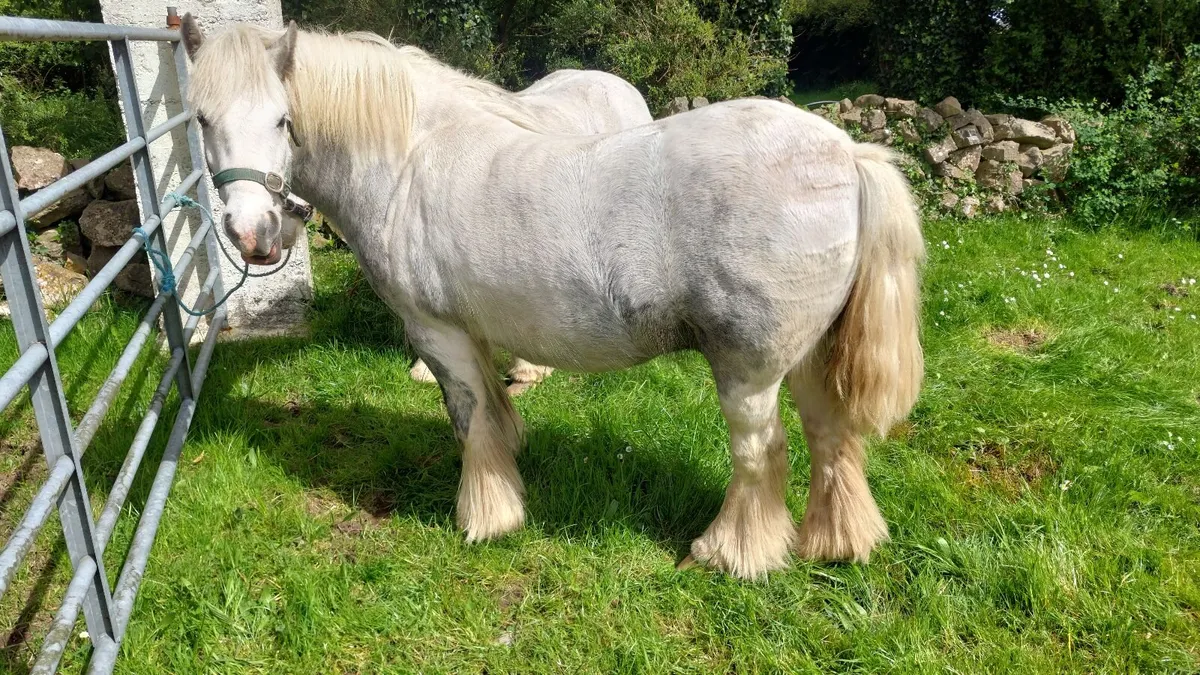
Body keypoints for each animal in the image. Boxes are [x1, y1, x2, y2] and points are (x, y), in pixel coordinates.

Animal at [181, 17, 925, 580]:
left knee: (761, 452)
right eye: (201, 119)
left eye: (283, 120)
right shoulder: (474, 328)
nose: (252, 234)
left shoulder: (437, 331)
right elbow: (491, 406)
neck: (407, 161)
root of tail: (845, 154)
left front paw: (485, 516)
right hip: (808, 355)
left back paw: (729, 553)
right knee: (831, 436)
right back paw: (838, 541)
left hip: (749, 368)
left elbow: (470, 418)